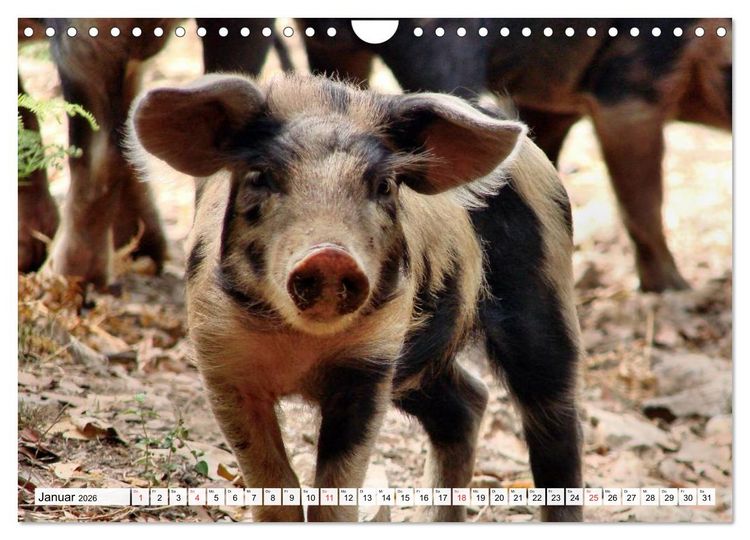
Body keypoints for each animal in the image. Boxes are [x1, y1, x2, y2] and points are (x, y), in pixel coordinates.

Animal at [128, 73, 583, 522]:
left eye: (383, 185)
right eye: (260, 176)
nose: (330, 255)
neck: (300, 349)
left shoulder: (371, 362)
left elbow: (336, 492)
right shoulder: (221, 360)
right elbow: (273, 482)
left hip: (545, 294)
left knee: (555, 424)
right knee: (467, 403)